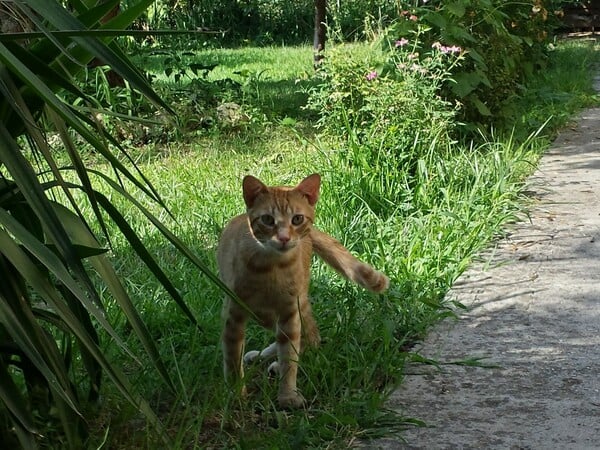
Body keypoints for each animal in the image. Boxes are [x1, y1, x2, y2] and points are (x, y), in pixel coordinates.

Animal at [217, 172, 390, 408]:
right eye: (267, 220)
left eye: (297, 219)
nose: (284, 238)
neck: (271, 269)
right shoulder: (234, 314)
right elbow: (233, 358)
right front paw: (236, 394)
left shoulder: (289, 313)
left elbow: (290, 356)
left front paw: (287, 395)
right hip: (270, 314)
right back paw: (262, 355)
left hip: (297, 303)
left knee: (311, 337)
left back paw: (276, 363)